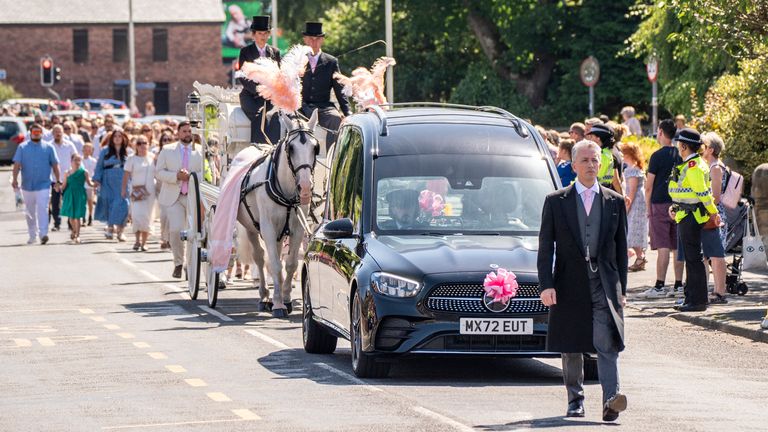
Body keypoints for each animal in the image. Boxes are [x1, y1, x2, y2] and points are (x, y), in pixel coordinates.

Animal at [238, 109, 320, 318]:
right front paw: (277, 304)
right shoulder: (267, 227)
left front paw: (287, 299)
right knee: (260, 258)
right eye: (291, 148)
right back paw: (264, 296)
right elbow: (274, 264)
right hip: (251, 227)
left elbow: (289, 263)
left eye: (315, 148)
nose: (305, 187)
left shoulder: (298, 227)